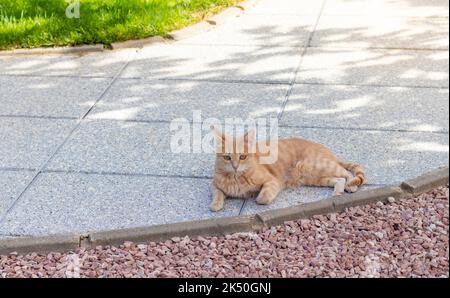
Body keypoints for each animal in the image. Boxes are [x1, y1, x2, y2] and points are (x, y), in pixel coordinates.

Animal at [211, 126, 366, 212]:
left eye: (242, 157)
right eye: (227, 157)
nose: (235, 166)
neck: (235, 178)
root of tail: (328, 151)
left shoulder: (273, 181)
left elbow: (263, 197)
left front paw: (256, 196)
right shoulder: (215, 185)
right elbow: (217, 193)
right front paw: (216, 204)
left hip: (316, 166)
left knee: (346, 173)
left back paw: (351, 186)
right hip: (315, 178)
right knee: (339, 179)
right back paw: (338, 192)